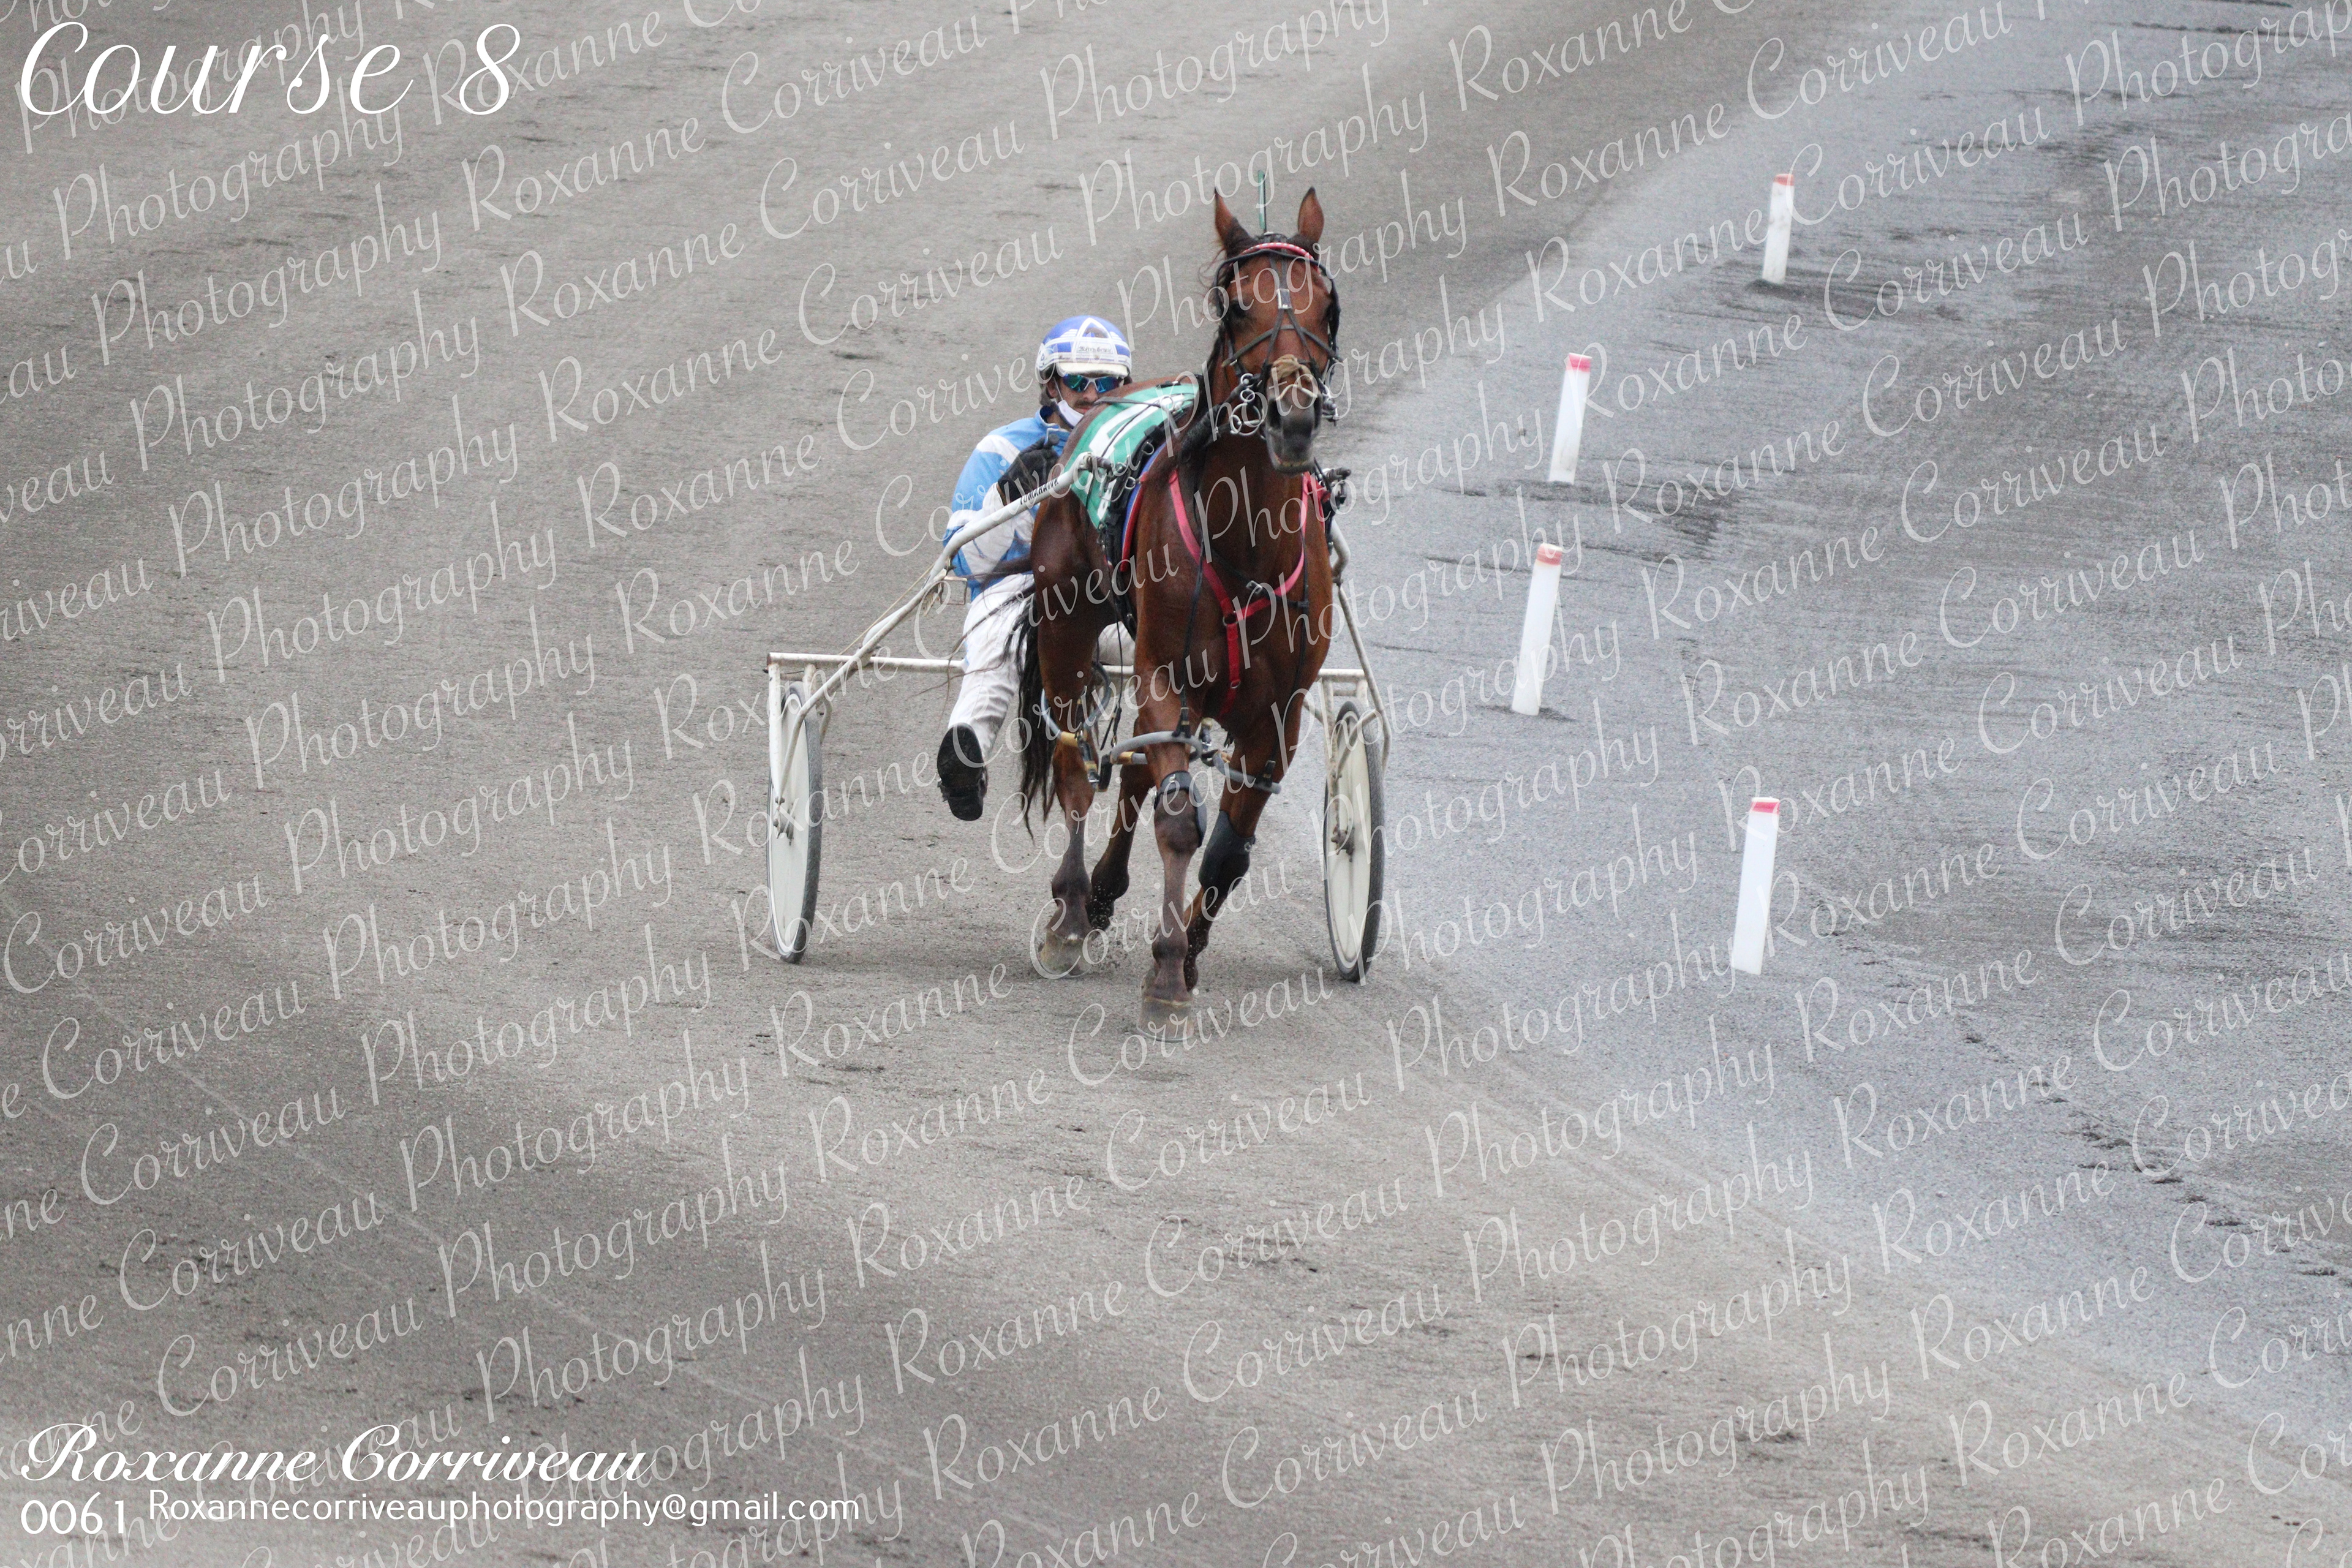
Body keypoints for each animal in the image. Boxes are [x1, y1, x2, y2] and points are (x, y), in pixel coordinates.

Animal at [1015, 190, 1342, 1035]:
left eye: (1329, 307)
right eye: (1234, 304)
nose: (1293, 417)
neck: (1249, 545)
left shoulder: (1280, 717)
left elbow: (1228, 851)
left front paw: (1189, 955)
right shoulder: (1167, 677)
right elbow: (1177, 821)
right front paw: (1164, 972)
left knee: (1131, 769)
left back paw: (1102, 893)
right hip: (1067, 628)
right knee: (1076, 763)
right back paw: (1072, 909)